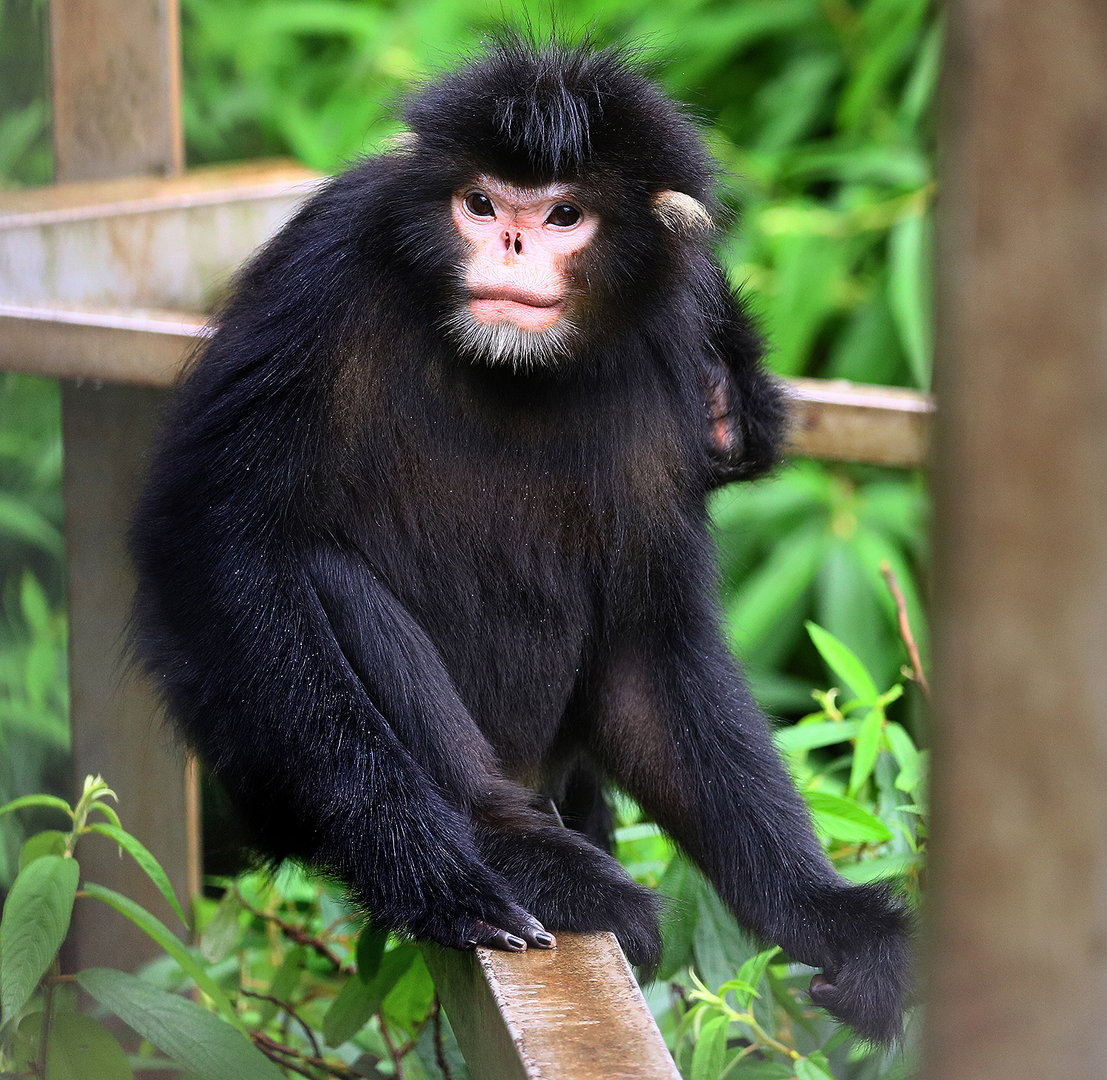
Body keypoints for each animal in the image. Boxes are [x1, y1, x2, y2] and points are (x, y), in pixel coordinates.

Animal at [129, 38, 910, 1044]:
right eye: (482, 204)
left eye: (563, 215)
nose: (508, 244)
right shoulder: (326, 264)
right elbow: (215, 545)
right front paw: (430, 873)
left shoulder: (672, 337)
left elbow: (647, 650)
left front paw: (826, 917)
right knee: (315, 582)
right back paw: (513, 854)